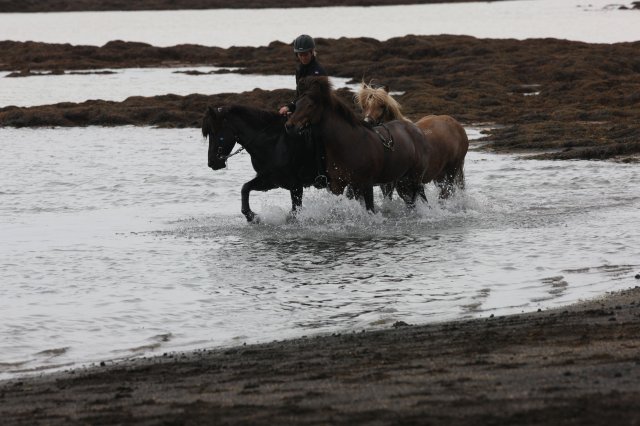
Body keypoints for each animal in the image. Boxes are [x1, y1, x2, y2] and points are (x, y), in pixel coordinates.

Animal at [286, 77, 432, 213]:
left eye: (310, 105)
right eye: (296, 104)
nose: (289, 126)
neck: (349, 143)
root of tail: (417, 130)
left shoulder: (366, 184)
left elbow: (370, 209)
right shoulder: (339, 185)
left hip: (414, 179)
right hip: (401, 180)